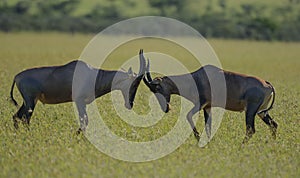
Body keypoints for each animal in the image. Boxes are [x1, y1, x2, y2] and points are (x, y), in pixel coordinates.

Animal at [11, 49, 147, 133]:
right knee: (25, 118)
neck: (92, 74)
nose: (130, 104)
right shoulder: (79, 101)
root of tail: (16, 76)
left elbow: (85, 120)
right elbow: (84, 120)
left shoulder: (84, 103)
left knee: (17, 116)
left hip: (28, 102)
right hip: (30, 101)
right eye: (135, 83)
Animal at [142, 57, 276, 144]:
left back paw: (241, 146)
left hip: (251, 111)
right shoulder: (207, 107)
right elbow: (208, 127)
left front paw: (198, 138)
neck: (197, 77)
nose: (166, 108)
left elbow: (188, 116)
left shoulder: (201, 104)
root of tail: (267, 84)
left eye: (157, 87)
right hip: (261, 111)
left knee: (251, 130)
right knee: (273, 124)